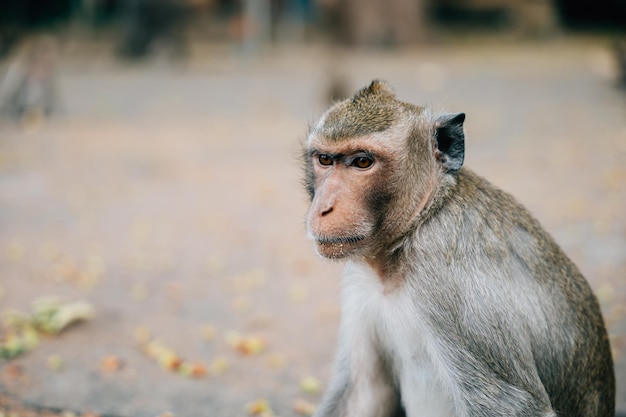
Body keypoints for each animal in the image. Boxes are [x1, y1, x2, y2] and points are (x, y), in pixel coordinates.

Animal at [304, 79, 616, 414]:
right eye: (325, 160)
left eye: (362, 162)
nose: (323, 208)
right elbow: (365, 391)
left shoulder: (448, 282)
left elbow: (514, 406)